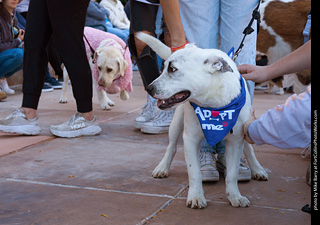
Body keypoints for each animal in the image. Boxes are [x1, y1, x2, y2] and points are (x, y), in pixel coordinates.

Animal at [136, 32, 268, 208]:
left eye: (173, 69)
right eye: (163, 68)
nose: (148, 88)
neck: (214, 105)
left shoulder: (236, 140)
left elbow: (232, 174)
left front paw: (235, 196)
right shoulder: (190, 139)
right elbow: (194, 172)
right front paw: (196, 196)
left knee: (248, 148)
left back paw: (257, 169)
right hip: (176, 123)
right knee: (171, 147)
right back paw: (162, 167)